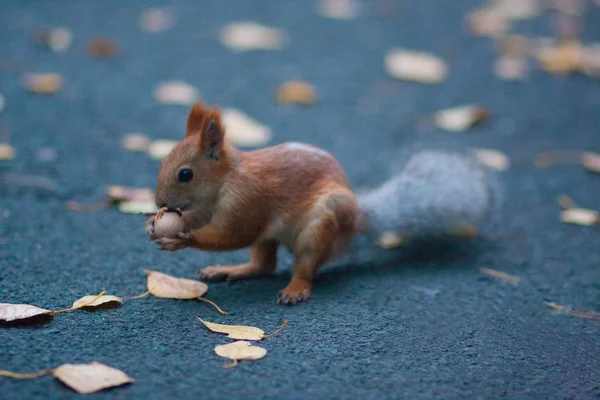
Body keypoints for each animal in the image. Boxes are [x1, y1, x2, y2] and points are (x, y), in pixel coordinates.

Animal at [145, 101, 492, 306]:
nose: (159, 200)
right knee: (264, 264)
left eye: (186, 174)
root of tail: (357, 218)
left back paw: (296, 288)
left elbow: (233, 234)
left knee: (305, 264)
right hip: (272, 237)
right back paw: (230, 270)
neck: (222, 183)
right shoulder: (206, 207)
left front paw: (183, 239)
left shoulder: (246, 201)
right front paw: (154, 223)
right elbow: (199, 219)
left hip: (321, 224)